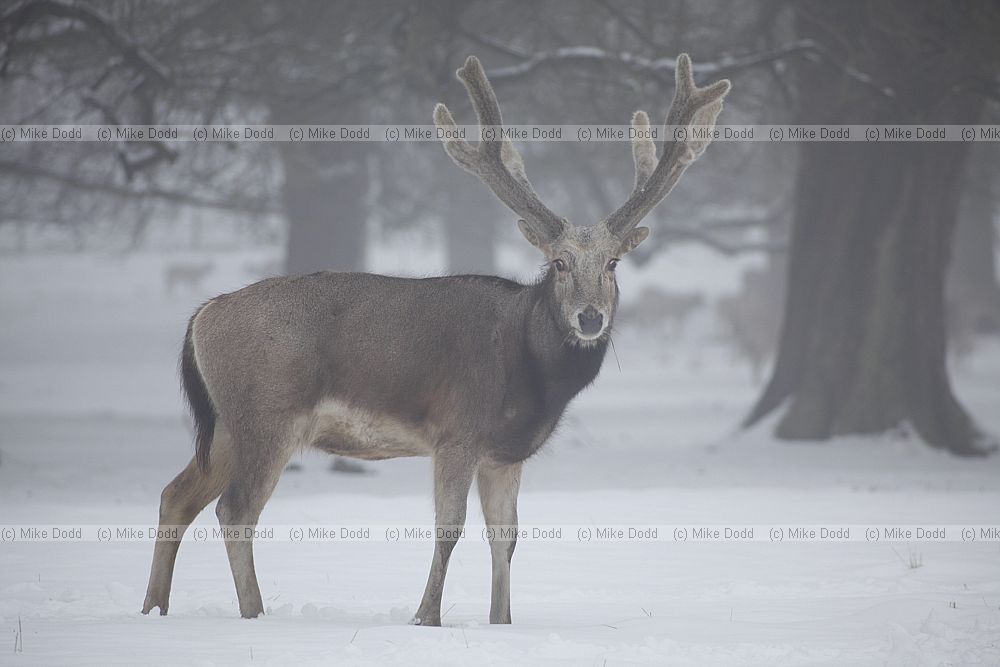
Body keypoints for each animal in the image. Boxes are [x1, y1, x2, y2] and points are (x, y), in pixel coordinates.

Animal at [141, 54, 730, 626]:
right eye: (560, 263)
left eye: (612, 264)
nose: (589, 318)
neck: (527, 374)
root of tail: (201, 317)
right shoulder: (457, 430)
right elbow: (450, 527)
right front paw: (426, 617)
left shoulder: (505, 453)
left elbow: (506, 537)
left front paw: (501, 621)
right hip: (267, 413)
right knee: (236, 510)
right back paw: (252, 613)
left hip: (225, 425)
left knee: (176, 496)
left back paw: (154, 608)